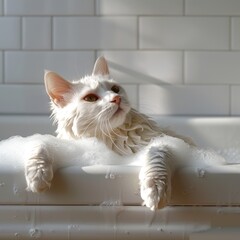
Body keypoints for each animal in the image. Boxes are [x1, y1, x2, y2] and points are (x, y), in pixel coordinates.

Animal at [24, 57, 197, 211]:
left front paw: (154, 188)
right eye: (90, 98)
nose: (117, 98)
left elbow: (157, 155)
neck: (112, 139)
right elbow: (40, 144)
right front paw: (37, 175)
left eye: (115, 89)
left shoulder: (168, 142)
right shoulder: (69, 146)